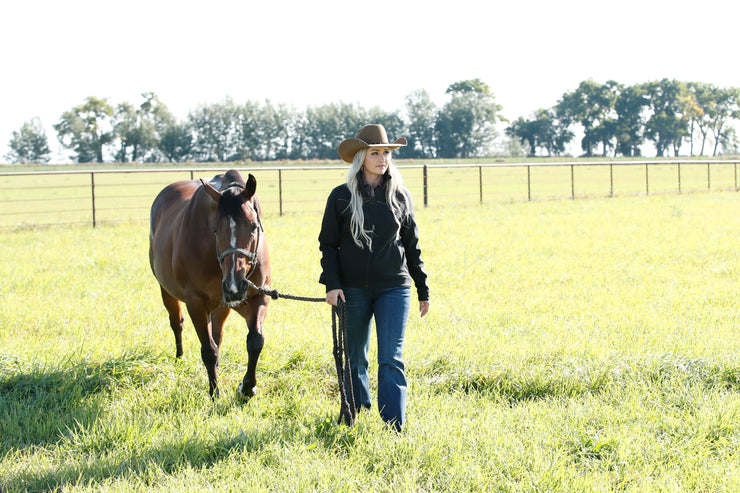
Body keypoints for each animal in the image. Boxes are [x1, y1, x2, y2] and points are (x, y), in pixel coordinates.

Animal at [149, 169, 270, 400]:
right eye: (214, 229)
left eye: (253, 226)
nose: (234, 285)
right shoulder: (195, 303)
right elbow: (208, 350)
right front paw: (215, 393)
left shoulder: (257, 297)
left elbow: (255, 341)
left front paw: (247, 387)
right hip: (166, 290)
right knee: (176, 322)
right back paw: (179, 357)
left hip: (223, 305)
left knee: (217, 332)